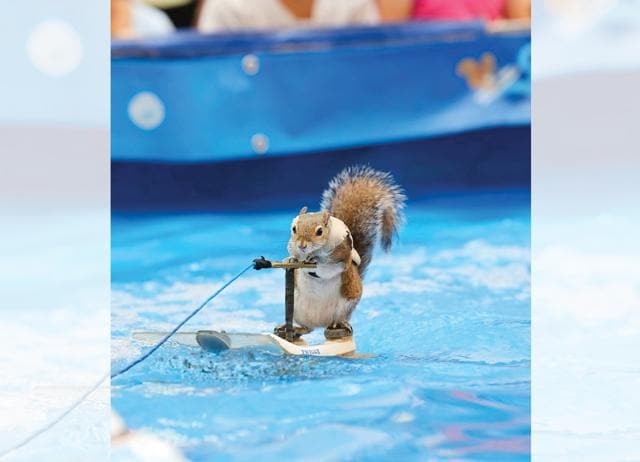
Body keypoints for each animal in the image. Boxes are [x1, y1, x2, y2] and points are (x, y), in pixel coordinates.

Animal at [286, 166, 406, 339]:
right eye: (294, 228)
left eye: (319, 231)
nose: (302, 245)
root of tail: (321, 323)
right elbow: (293, 257)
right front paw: (291, 260)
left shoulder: (341, 258)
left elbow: (329, 268)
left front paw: (317, 261)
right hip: (298, 309)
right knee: (308, 328)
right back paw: (295, 329)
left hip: (346, 304)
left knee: (334, 322)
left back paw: (340, 325)